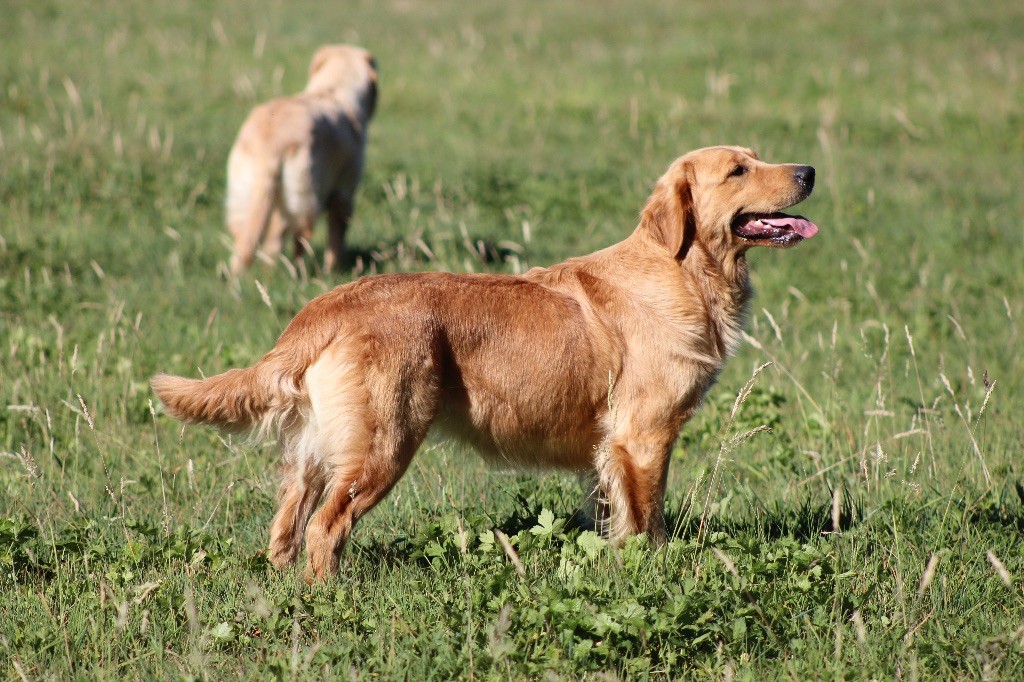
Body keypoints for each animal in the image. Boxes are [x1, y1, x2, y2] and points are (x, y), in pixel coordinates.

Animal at [155, 144, 819, 577]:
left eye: (756, 156)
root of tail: (328, 304)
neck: (684, 270)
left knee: (287, 526)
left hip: (318, 453)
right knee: (326, 528)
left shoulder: (610, 449)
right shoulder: (645, 436)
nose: (810, 170)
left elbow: (615, 519)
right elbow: (648, 522)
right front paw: (657, 575)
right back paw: (331, 601)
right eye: (739, 169)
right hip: (383, 445)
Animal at [226, 43, 378, 274]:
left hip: (244, 198)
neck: (332, 92)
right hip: (304, 200)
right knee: (291, 237)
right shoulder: (344, 192)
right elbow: (336, 237)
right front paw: (333, 270)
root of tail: (272, 145)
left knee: (249, 238)